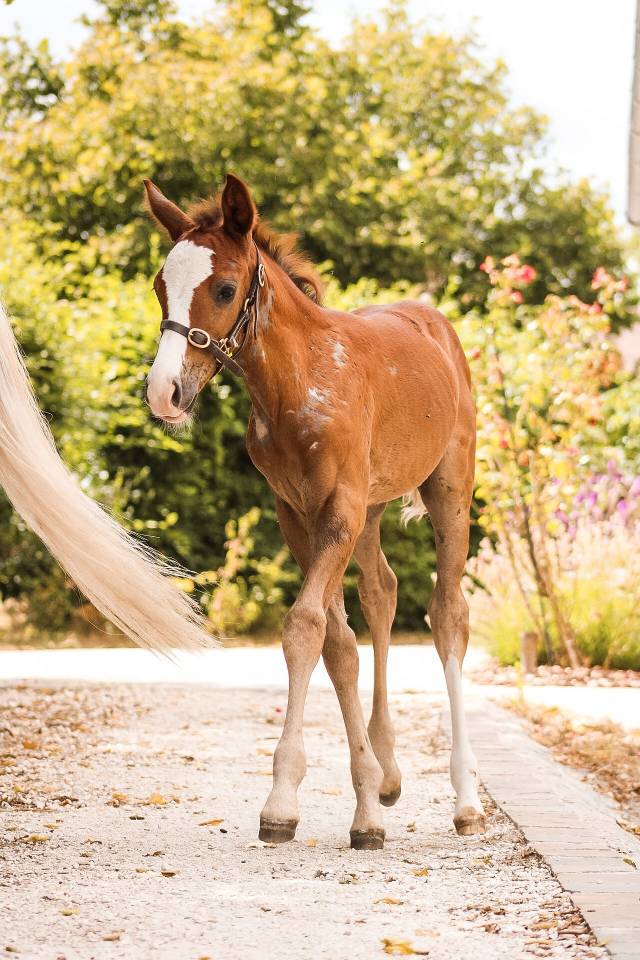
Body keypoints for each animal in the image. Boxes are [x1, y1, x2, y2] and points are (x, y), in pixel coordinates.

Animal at [144, 173, 485, 850]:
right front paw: (363, 800)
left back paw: (465, 799)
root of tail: (435, 322)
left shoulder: (339, 510)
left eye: (224, 289)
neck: (298, 385)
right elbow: (337, 642)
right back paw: (388, 771)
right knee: (382, 592)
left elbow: (305, 625)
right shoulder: (295, 512)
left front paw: (283, 802)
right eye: (160, 287)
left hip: (449, 487)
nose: (163, 393)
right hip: (375, 509)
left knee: (448, 614)